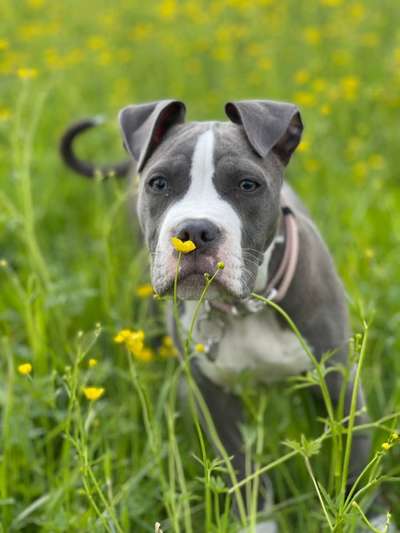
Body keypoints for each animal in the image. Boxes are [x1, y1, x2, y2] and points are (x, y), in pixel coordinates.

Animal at [60, 98, 372, 528]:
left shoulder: (339, 378)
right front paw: (258, 525)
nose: (194, 231)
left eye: (248, 184)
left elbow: (356, 461)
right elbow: (243, 471)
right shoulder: (214, 399)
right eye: (158, 183)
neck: (247, 306)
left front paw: (371, 517)